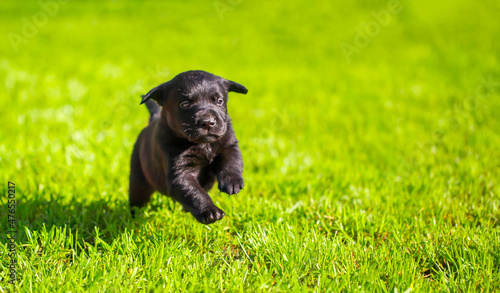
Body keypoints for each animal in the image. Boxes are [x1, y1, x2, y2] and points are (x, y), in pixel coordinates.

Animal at [128, 70, 247, 224]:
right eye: (185, 104)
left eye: (219, 101)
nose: (208, 122)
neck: (203, 144)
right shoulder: (180, 172)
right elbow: (195, 192)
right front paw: (210, 211)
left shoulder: (229, 143)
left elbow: (232, 160)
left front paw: (232, 182)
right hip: (139, 180)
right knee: (137, 200)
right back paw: (135, 217)